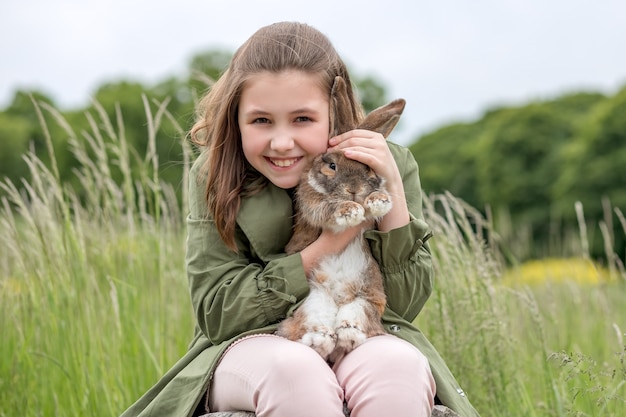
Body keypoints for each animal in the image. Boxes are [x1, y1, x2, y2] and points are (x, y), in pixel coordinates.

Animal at [276, 76, 404, 362]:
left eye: (368, 168)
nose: (354, 190)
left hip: (365, 300)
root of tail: (338, 300)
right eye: (332, 165)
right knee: (308, 328)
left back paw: (348, 334)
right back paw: (321, 338)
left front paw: (378, 201)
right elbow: (326, 206)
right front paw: (350, 211)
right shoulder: (311, 203)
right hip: (312, 301)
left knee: (353, 324)